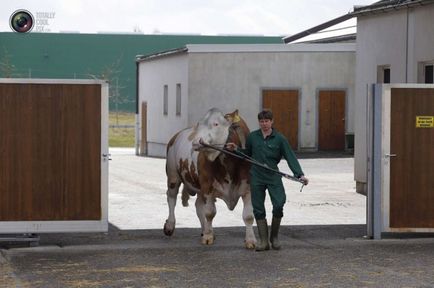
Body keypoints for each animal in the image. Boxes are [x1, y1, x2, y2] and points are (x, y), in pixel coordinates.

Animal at [164, 109, 256, 249]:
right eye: (199, 123)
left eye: (216, 124)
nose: (196, 141)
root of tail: (177, 135)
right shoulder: (207, 186)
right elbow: (209, 212)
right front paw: (208, 237)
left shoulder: (248, 188)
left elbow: (249, 216)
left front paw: (251, 240)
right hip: (173, 175)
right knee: (171, 198)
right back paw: (170, 225)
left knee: (198, 205)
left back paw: (205, 229)